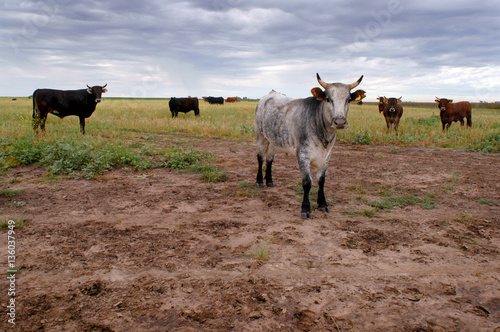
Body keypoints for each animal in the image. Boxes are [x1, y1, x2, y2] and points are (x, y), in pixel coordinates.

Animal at [256, 73, 366, 218]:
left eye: (348, 99)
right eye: (328, 99)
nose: (340, 122)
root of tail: (271, 94)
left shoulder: (327, 155)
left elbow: (321, 180)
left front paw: (323, 204)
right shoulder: (302, 154)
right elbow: (307, 182)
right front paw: (306, 209)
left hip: (274, 140)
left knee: (269, 159)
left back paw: (269, 181)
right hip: (260, 136)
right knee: (260, 158)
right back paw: (259, 182)